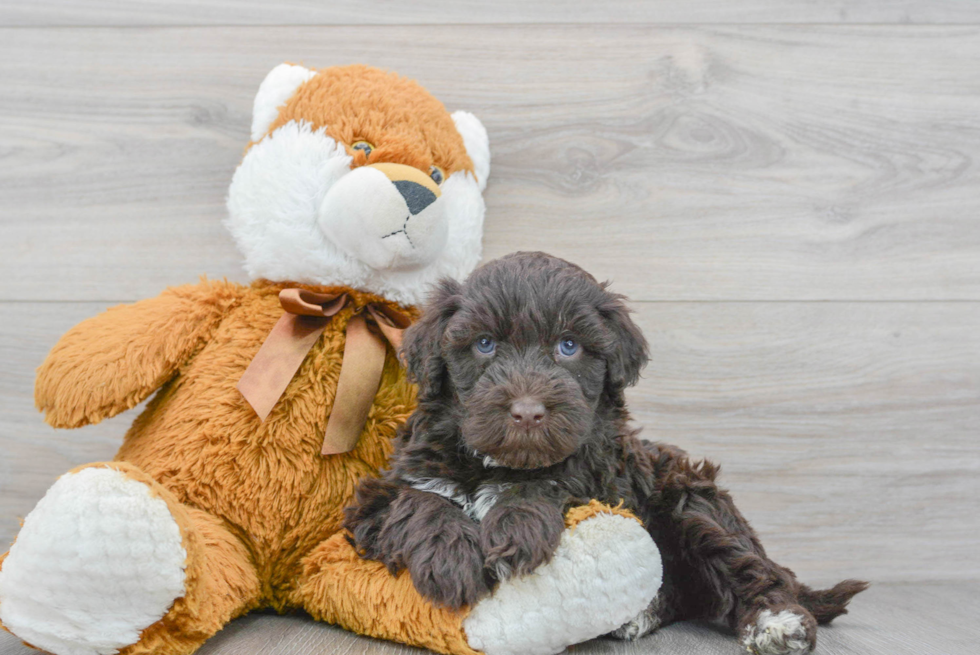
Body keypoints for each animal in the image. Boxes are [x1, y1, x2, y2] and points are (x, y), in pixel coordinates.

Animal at [346, 252, 864, 655]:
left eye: (568, 346)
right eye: (485, 344)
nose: (528, 412)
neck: (496, 461)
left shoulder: (599, 477)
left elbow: (549, 482)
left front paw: (515, 527)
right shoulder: (379, 495)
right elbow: (419, 501)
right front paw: (451, 558)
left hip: (691, 501)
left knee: (750, 568)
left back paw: (778, 621)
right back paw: (639, 614)